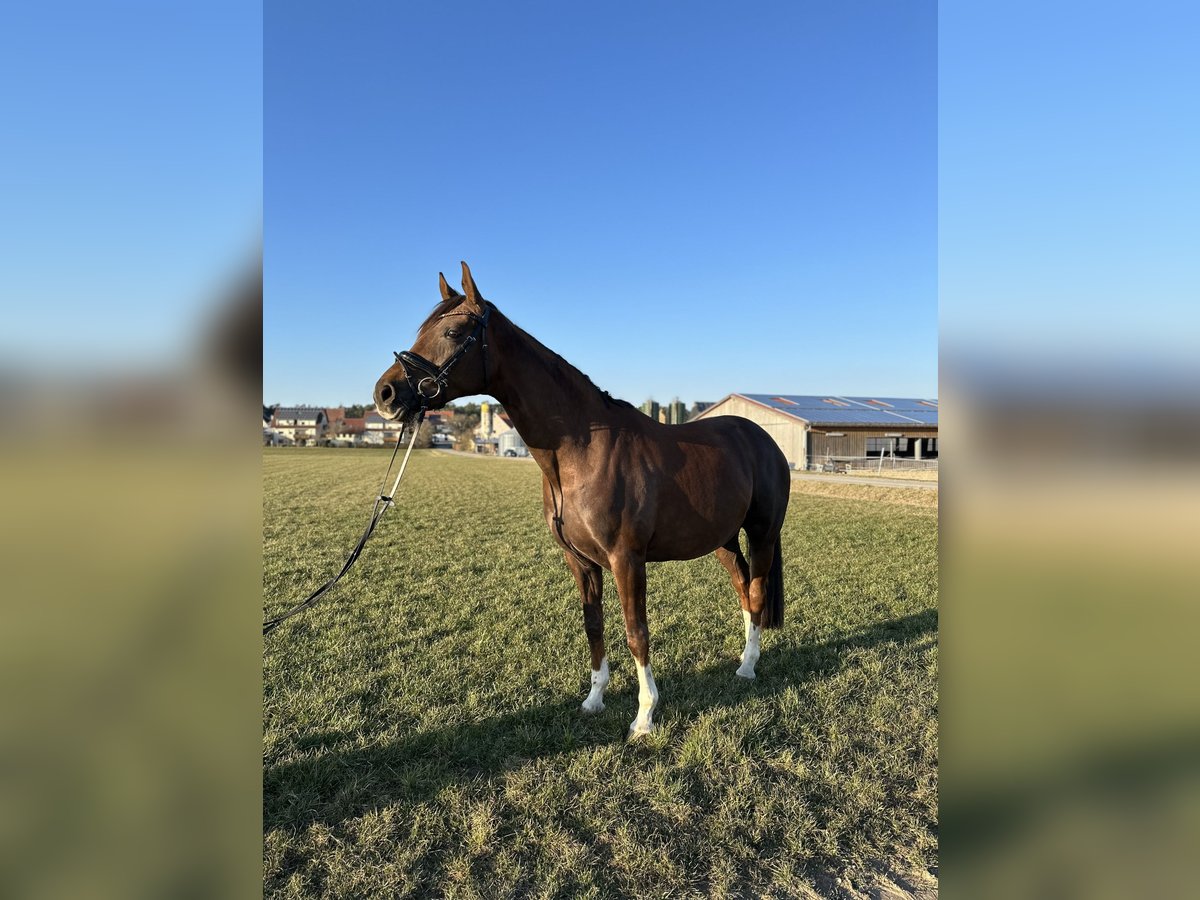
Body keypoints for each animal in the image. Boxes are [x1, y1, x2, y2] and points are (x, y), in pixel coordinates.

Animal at [374, 263, 790, 735]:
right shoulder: (581, 561)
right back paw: (741, 660)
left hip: (761, 534)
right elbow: (594, 626)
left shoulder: (626, 560)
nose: (385, 394)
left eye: (454, 331)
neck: (582, 452)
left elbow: (636, 631)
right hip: (721, 539)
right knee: (742, 588)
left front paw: (644, 717)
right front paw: (594, 699)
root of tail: (762, 439)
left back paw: (749, 667)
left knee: (756, 590)